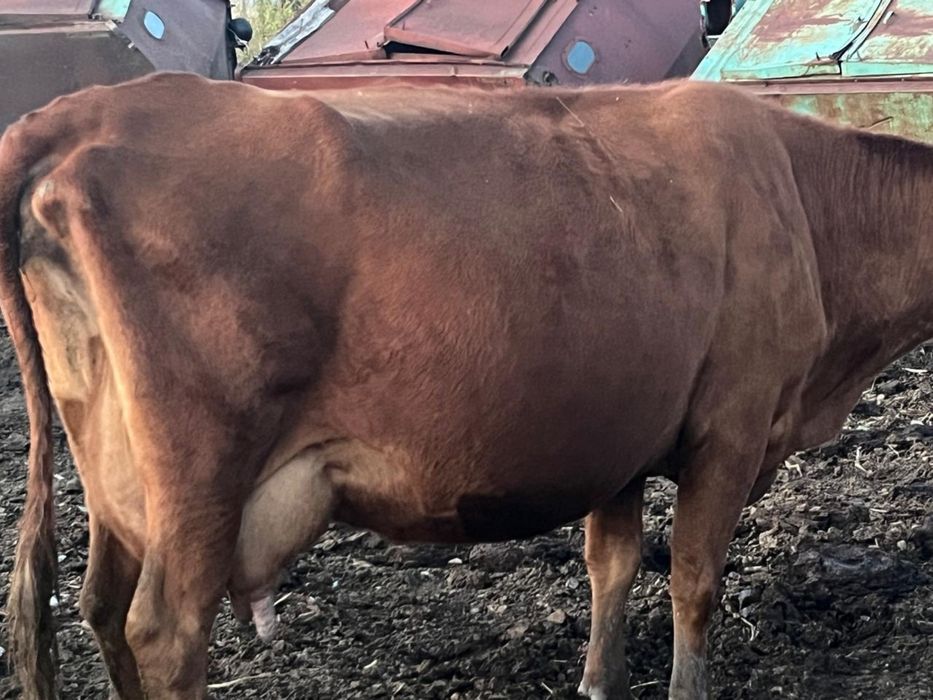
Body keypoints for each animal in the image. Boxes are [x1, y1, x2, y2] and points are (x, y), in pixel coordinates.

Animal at [0, 71, 930, 700]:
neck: (804, 199)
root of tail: (83, 111)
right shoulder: (728, 431)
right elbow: (693, 585)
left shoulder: (620, 437)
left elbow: (612, 566)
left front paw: (598, 681)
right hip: (200, 476)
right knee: (164, 629)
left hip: (113, 468)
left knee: (98, 604)